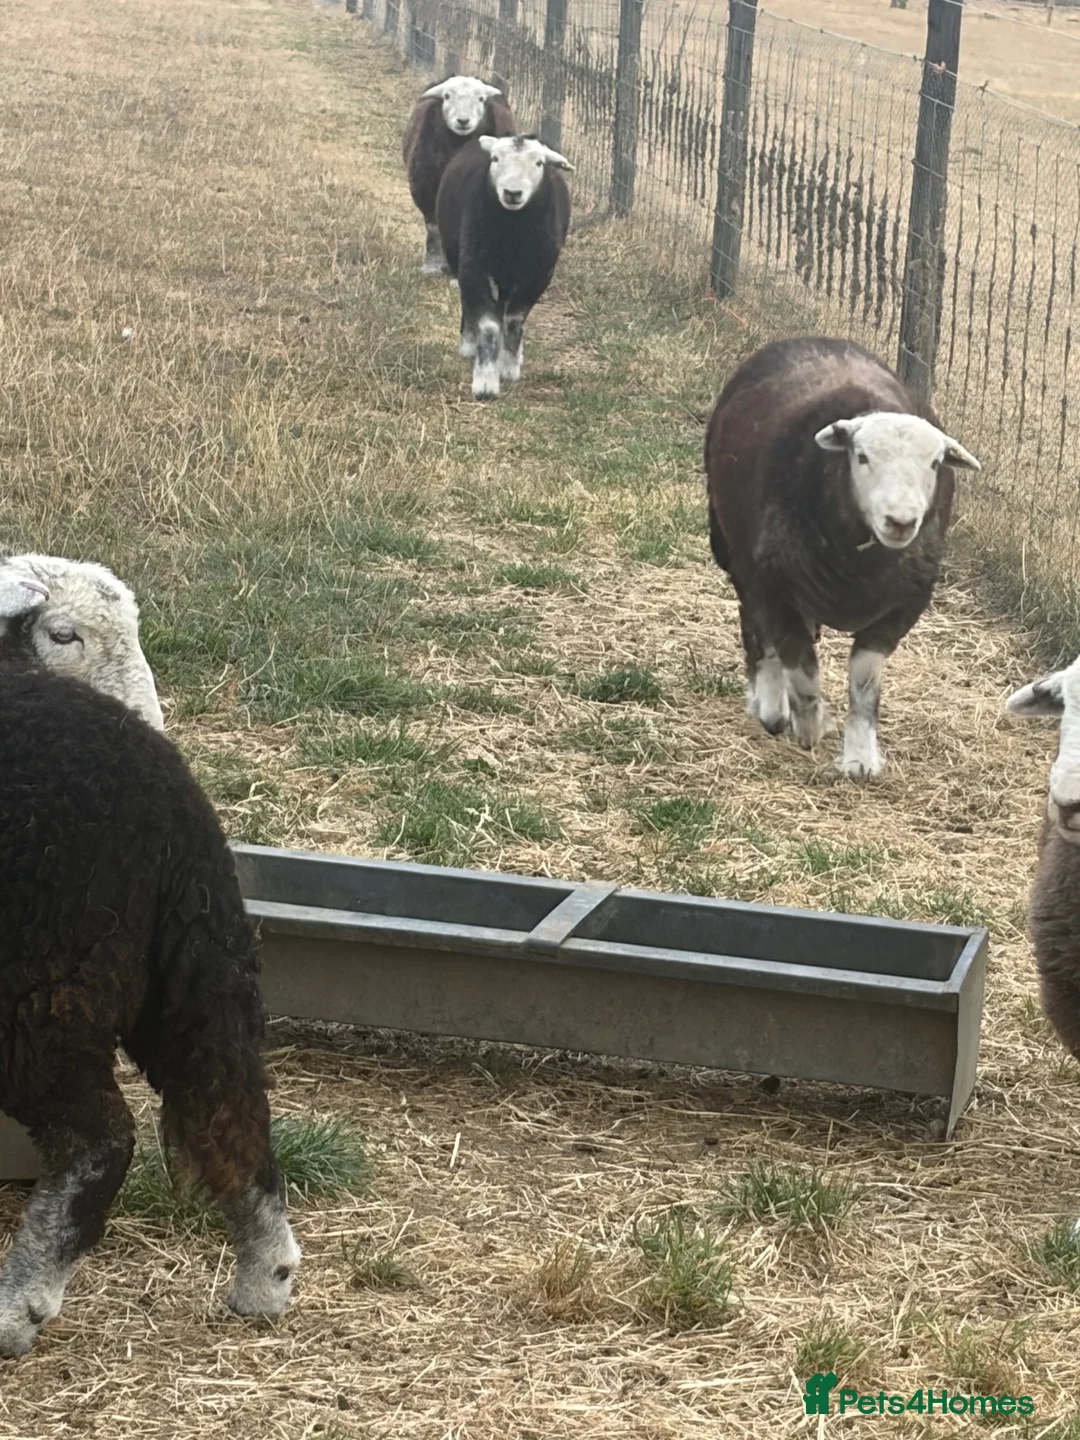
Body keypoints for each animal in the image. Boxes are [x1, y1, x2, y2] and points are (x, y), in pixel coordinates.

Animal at [0, 574, 299, 1359]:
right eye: (63, 634)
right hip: (195, 965)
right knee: (231, 1107)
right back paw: (267, 1278)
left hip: (42, 988)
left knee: (100, 1141)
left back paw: (18, 1307)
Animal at [402, 75, 515, 275]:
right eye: (447, 96)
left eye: (481, 99)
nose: (463, 121)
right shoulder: (425, 187)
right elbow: (434, 228)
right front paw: (432, 264)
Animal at [436, 133, 573, 401]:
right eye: (495, 159)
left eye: (539, 163)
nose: (512, 193)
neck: (512, 231)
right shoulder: (474, 266)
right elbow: (488, 325)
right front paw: (486, 384)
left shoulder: (539, 275)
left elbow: (513, 320)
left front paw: (509, 367)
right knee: (470, 304)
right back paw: (469, 344)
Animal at [704, 336, 981, 779]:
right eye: (862, 457)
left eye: (935, 462)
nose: (901, 521)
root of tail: (812, 339)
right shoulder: (772, 584)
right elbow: (800, 662)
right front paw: (808, 724)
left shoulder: (902, 608)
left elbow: (864, 683)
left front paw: (860, 756)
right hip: (732, 547)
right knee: (755, 625)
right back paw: (771, 706)